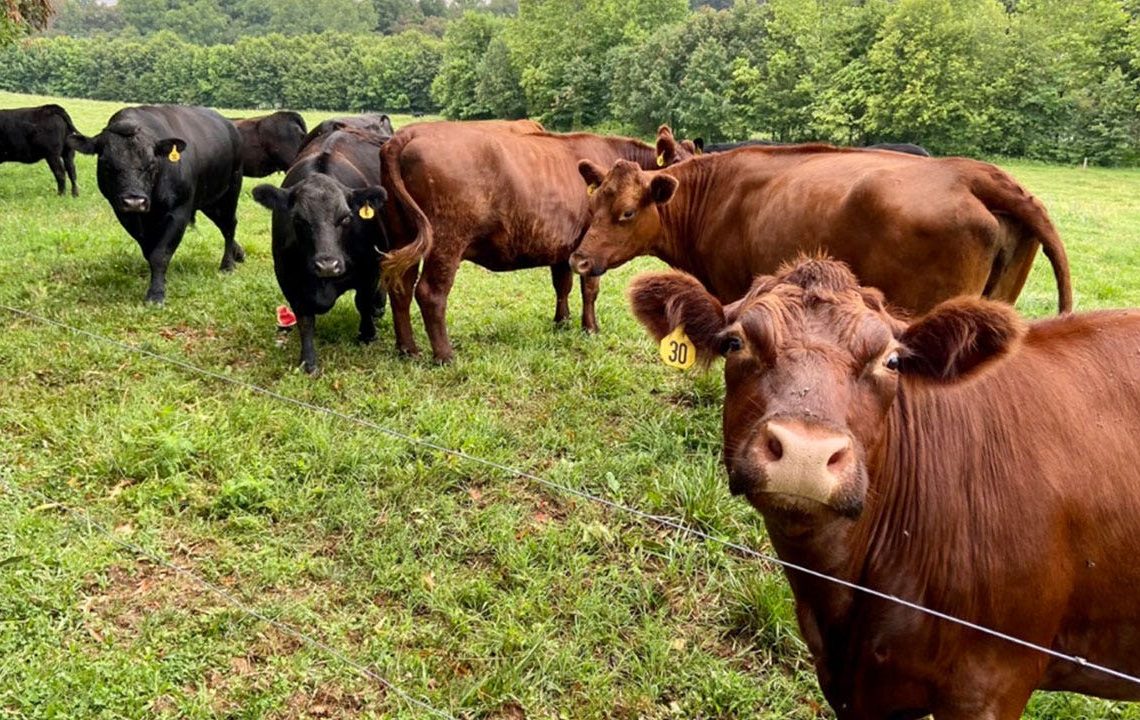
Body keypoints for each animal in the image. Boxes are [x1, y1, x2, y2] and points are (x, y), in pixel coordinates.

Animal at [68, 106, 244, 304]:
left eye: (152, 163)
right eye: (106, 163)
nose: (134, 201)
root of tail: (229, 125)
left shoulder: (179, 212)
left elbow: (160, 254)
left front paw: (156, 294)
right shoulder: (126, 215)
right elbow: (149, 250)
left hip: (229, 192)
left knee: (229, 226)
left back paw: (227, 265)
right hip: (210, 202)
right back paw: (238, 253)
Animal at [251, 128, 389, 374]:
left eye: (345, 218)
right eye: (299, 220)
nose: (327, 265)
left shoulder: (369, 268)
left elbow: (362, 302)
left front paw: (367, 334)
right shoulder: (288, 278)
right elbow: (305, 318)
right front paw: (308, 361)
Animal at [379, 122, 659, 362]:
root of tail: (410, 132)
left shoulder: (563, 248)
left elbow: (562, 285)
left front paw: (562, 321)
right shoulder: (592, 247)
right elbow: (589, 290)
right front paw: (590, 328)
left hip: (403, 236)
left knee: (401, 287)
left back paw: (407, 349)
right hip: (446, 242)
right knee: (430, 293)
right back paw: (445, 355)